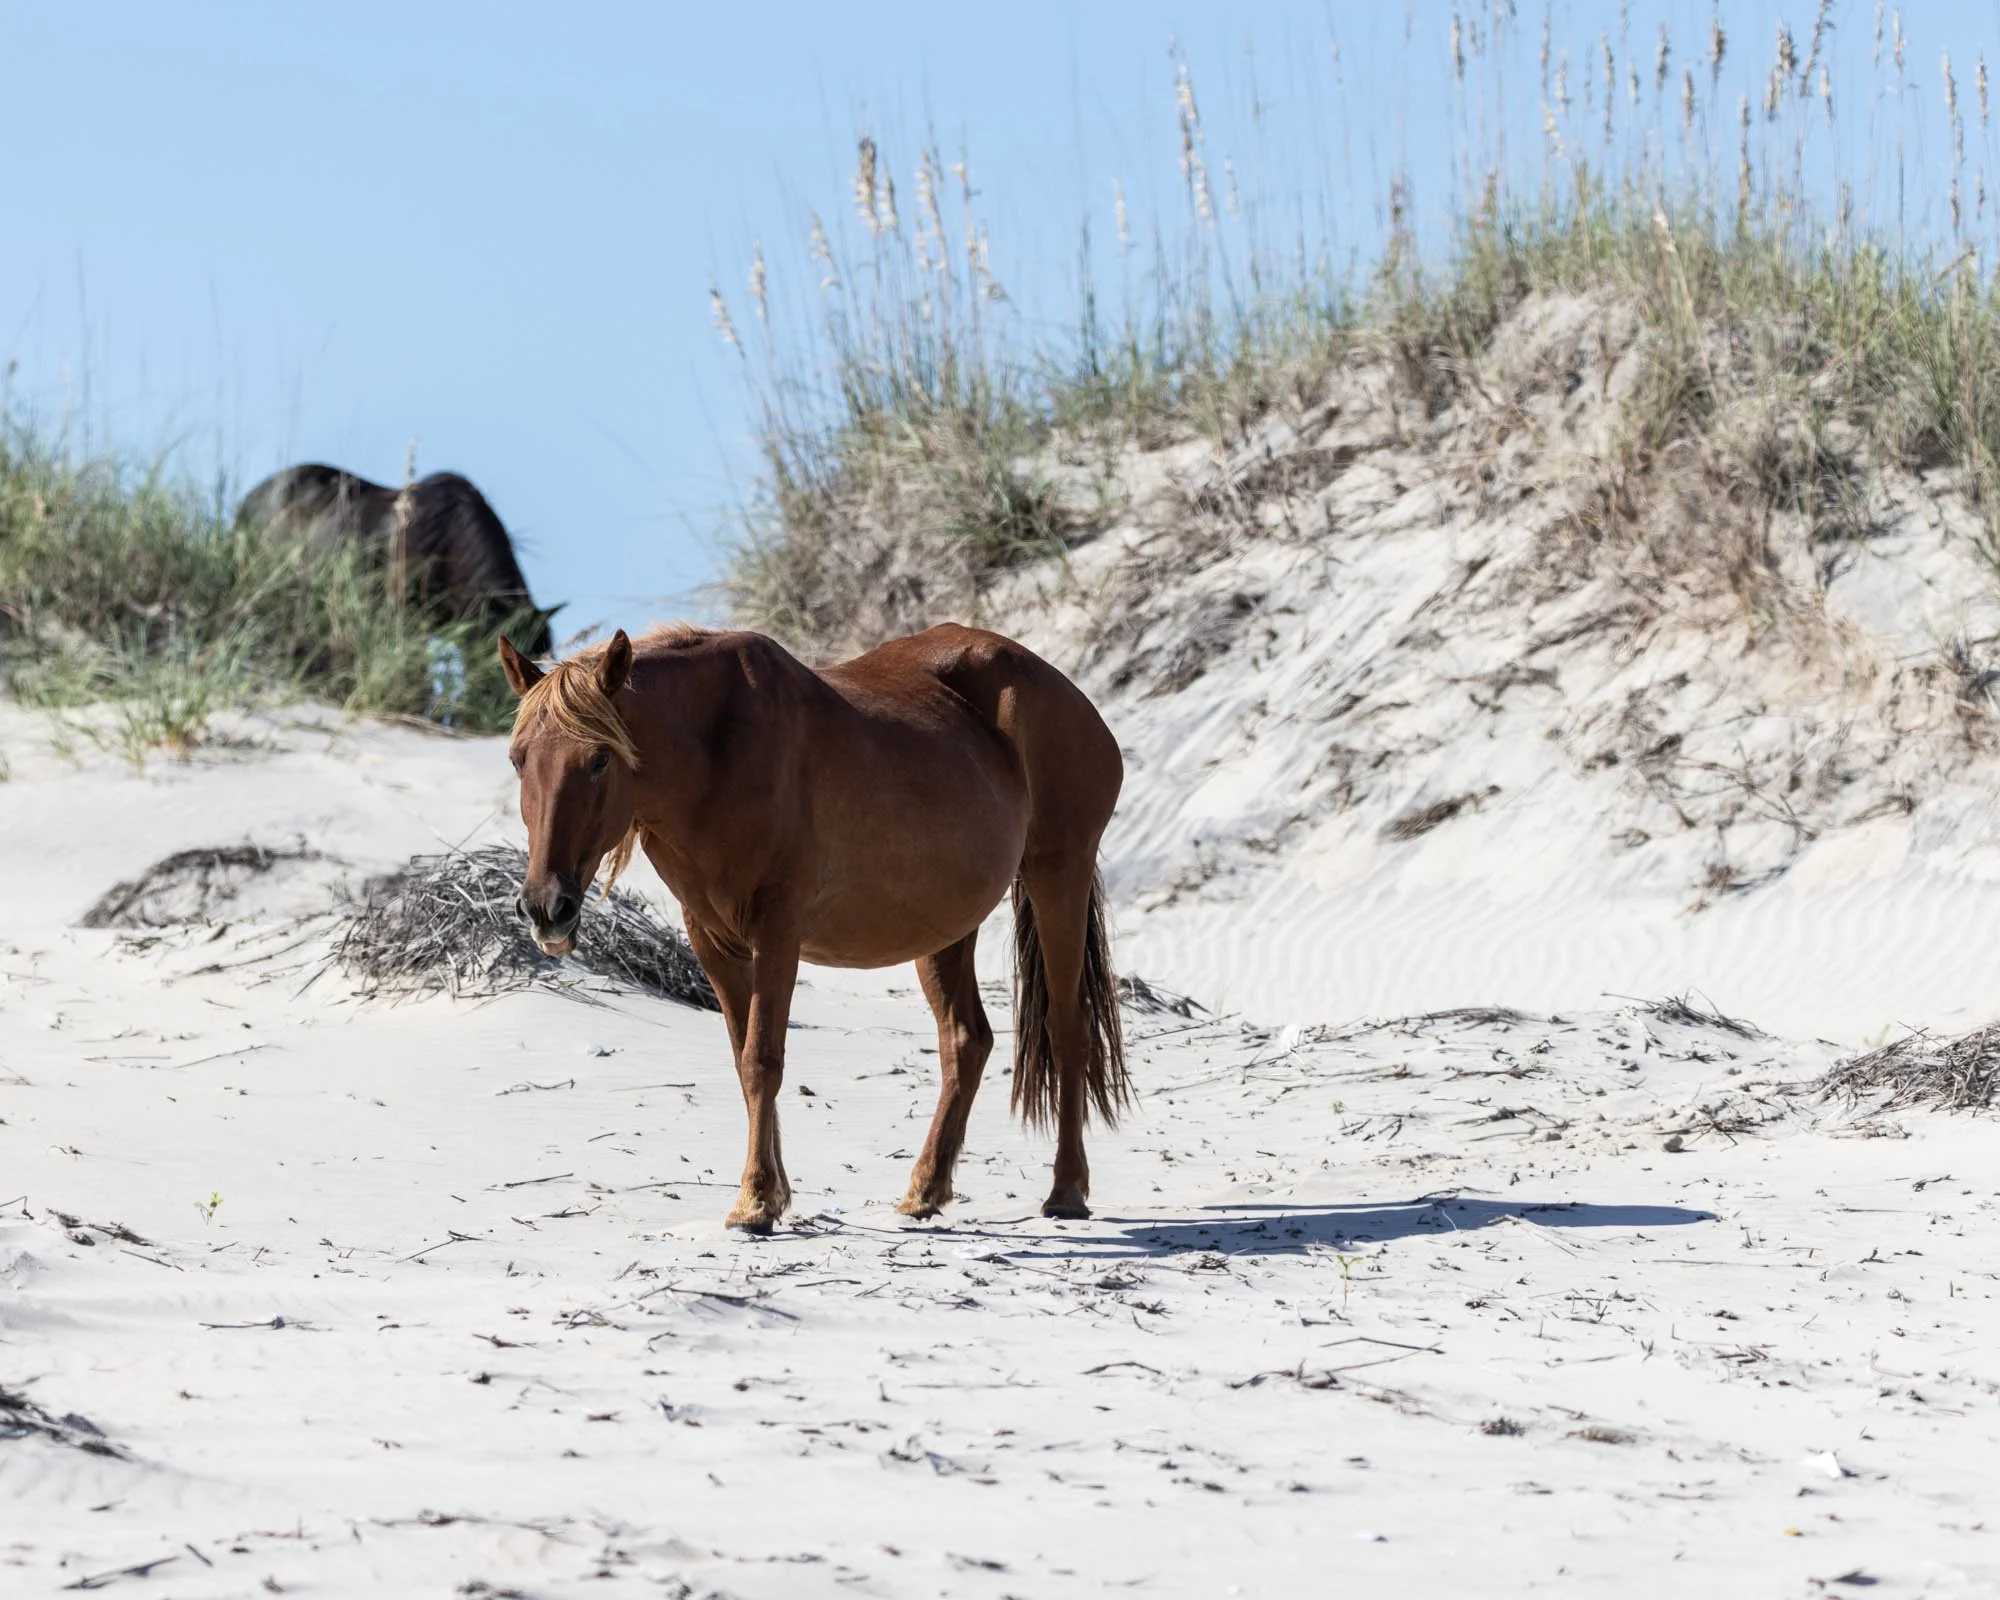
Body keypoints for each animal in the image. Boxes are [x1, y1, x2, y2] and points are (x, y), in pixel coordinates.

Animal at [498, 622, 1129, 1232]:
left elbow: (762, 1060)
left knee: (1067, 1030)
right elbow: (743, 1059)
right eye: (519, 759)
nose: (546, 907)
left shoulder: (778, 933)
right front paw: (774, 1191)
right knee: (966, 1041)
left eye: (599, 760)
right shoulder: (715, 942)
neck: (719, 751)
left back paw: (1066, 1191)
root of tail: (1074, 700)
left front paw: (754, 1202)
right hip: (946, 928)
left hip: (1058, 877)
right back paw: (924, 1191)